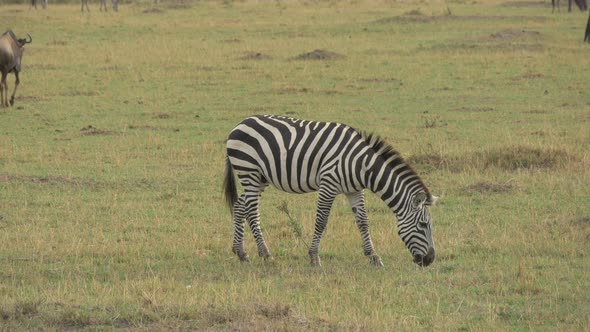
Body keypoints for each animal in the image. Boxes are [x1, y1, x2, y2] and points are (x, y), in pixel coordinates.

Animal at [224, 114, 438, 268]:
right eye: (423, 225)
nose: (430, 260)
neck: (362, 165)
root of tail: (240, 124)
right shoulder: (328, 184)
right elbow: (321, 220)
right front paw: (314, 257)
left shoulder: (354, 190)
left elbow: (363, 222)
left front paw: (373, 257)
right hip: (249, 171)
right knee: (252, 211)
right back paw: (266, 254)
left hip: (260, 178)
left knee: (240, 205)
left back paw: (240, 252)